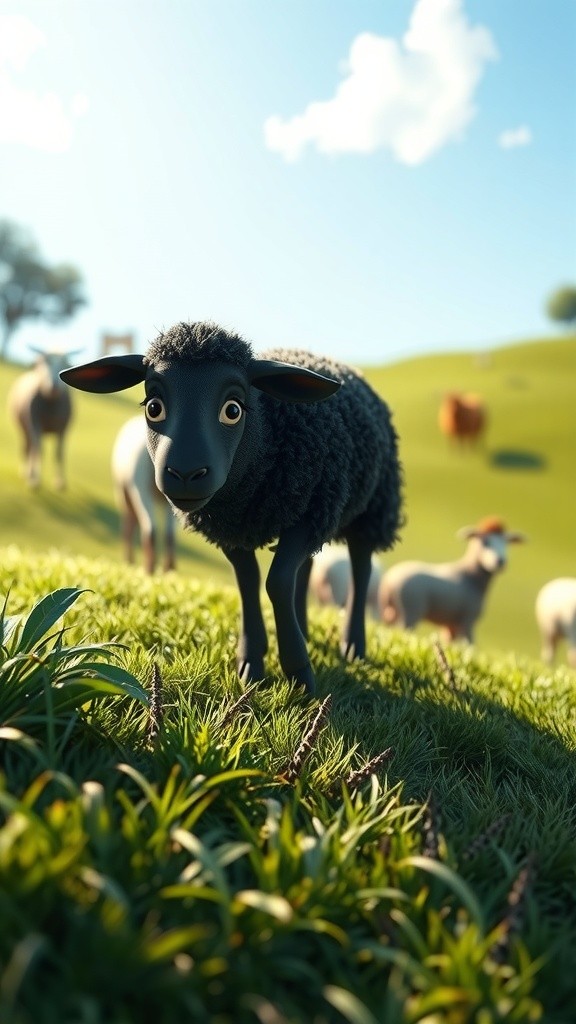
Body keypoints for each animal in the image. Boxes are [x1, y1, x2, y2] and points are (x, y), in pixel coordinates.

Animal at [8, 346, 80, 489]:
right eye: (44, 362)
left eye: (65, 363)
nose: (54, 386)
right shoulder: (34, 423)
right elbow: (39, 449)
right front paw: (34, 479)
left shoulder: (64, 428)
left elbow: (59, 452)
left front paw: (60, 482)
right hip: (24, 428)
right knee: (28, 447)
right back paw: (26, 471)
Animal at [378, 516, 525, 643]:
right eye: (485, 542)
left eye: (506, 544)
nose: (500, 561)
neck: (469, 576)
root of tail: (389, 580)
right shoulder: (467, 620)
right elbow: (470, 646)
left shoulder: (451, 625)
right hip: (410, 611)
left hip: (390, 611)